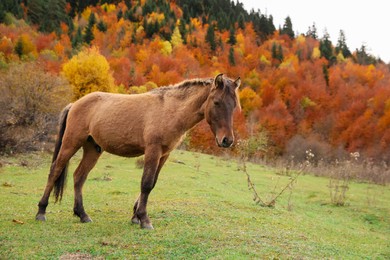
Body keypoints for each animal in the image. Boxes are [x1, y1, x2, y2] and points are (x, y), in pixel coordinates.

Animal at [36, 73, 242, 230]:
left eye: (234, 105)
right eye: (216, 102)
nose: (227, 140)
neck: (169, 110)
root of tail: (75, 104)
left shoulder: (164, 155)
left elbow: (152, 183)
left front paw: (135, 216)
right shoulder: (153, 151)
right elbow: (146, 183)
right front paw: (144, 219)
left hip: (93, 149)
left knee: (79, 176)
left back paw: (82, 214)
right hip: (71, 143)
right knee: (55, 171)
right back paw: (41, 211)